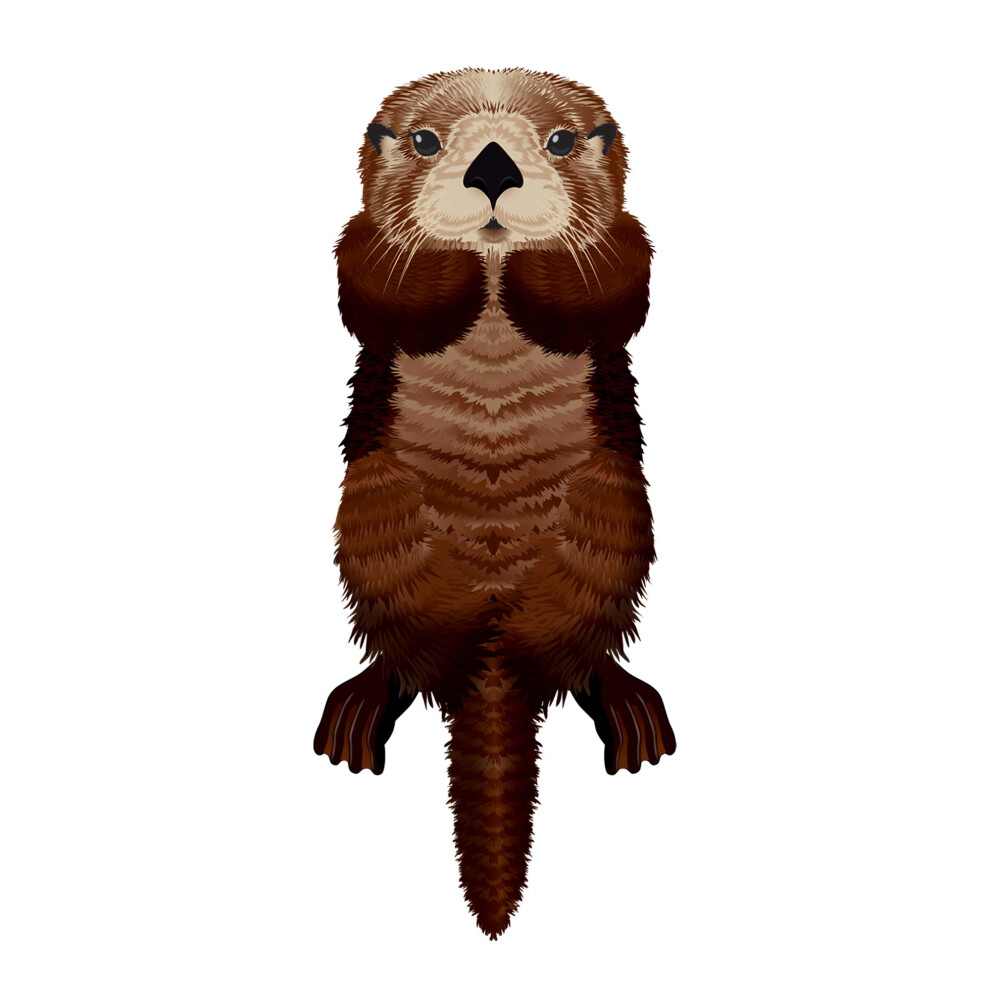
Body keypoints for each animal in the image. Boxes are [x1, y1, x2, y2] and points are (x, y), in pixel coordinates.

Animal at [313, 68, 676, 939]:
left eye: (560, 141)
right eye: (424, 141)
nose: (492, 172)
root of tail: (492, 649)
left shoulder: (629, 250)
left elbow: (617, 285)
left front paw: (534, 262)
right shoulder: (358, 252)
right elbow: (371, 286)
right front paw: (450, 261)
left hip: (613, 511)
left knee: (587, 656)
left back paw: (629, 708)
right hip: (374, 513)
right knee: (401, 659)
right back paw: (359, 708)